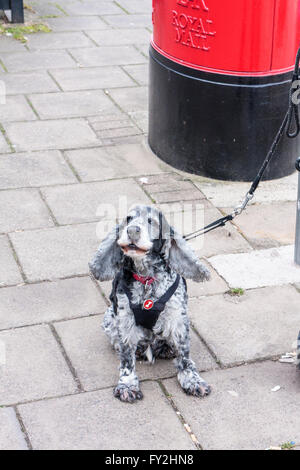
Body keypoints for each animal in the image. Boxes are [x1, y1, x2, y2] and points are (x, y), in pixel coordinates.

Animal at [90, 204, 212, 402]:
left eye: (151, 221)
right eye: (128, 219)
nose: (132, 230)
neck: (147, 277)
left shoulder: (177, 318)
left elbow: (184, 354)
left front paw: (192, 380)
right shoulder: (125, 319)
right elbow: (126, 356)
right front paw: (127, 384)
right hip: (109, 316)